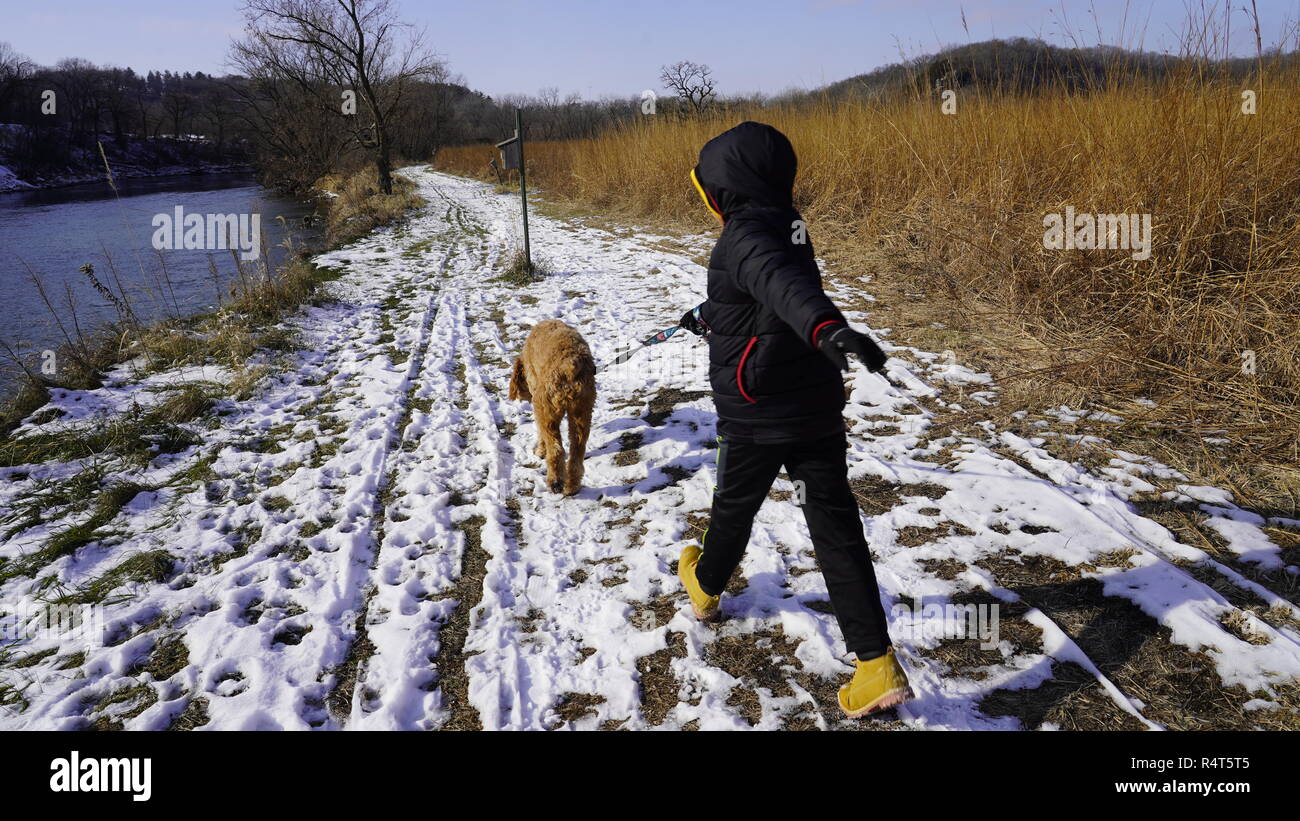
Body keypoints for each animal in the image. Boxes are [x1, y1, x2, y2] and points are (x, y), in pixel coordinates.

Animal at [504, 319, 595, 493]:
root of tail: (569, 365)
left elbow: (540, 432)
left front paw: (540, 451)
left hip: (547, 409)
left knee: (556, 450)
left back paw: (555, 482)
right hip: (582, 411)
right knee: (576, 453)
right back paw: (572, 486)